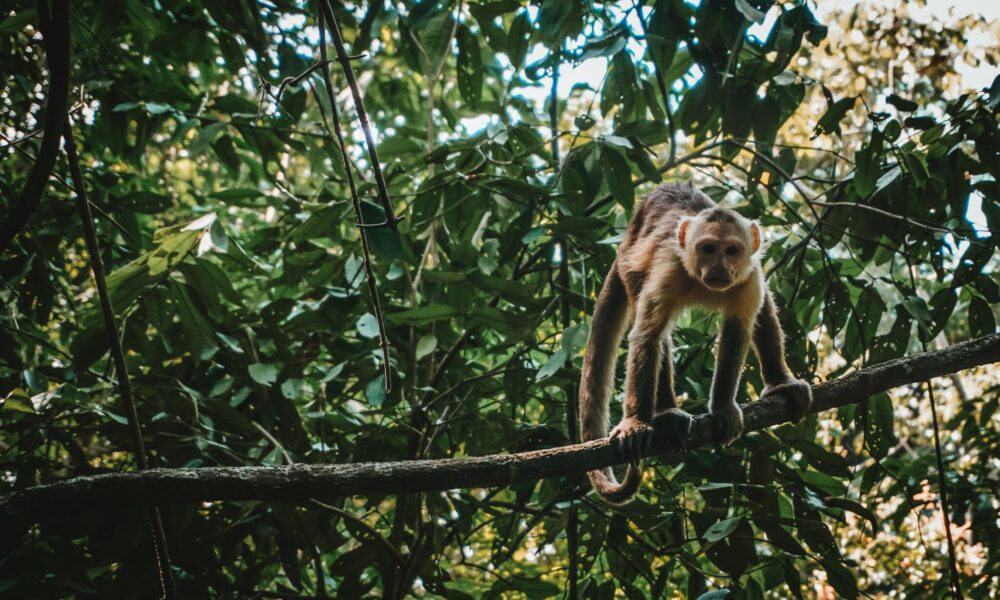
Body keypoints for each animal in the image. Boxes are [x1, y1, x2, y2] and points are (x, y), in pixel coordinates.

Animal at [580, 182, 812, 502]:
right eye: (708, 249)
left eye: (731, 251)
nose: (718, 267)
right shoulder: (670, 268)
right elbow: (648, 335)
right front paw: (635, 423)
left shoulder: (748, 275)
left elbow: (739, 329)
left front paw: (723, 408)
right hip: (630, 266)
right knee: (656, 331)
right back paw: (666, 414)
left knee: (764, 306)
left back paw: (781, 382)